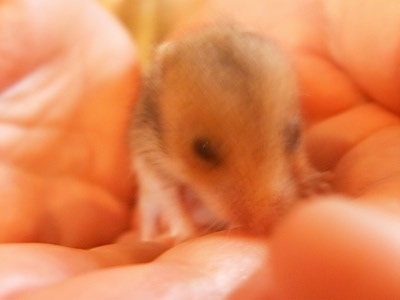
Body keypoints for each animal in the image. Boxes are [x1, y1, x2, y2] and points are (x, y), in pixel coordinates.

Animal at [130, 24, 324, 244]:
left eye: (295, 136)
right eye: (202, 149)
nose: (265, 228)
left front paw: (317, 185)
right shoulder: (152, 162)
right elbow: (171, 199)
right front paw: (189, 234)